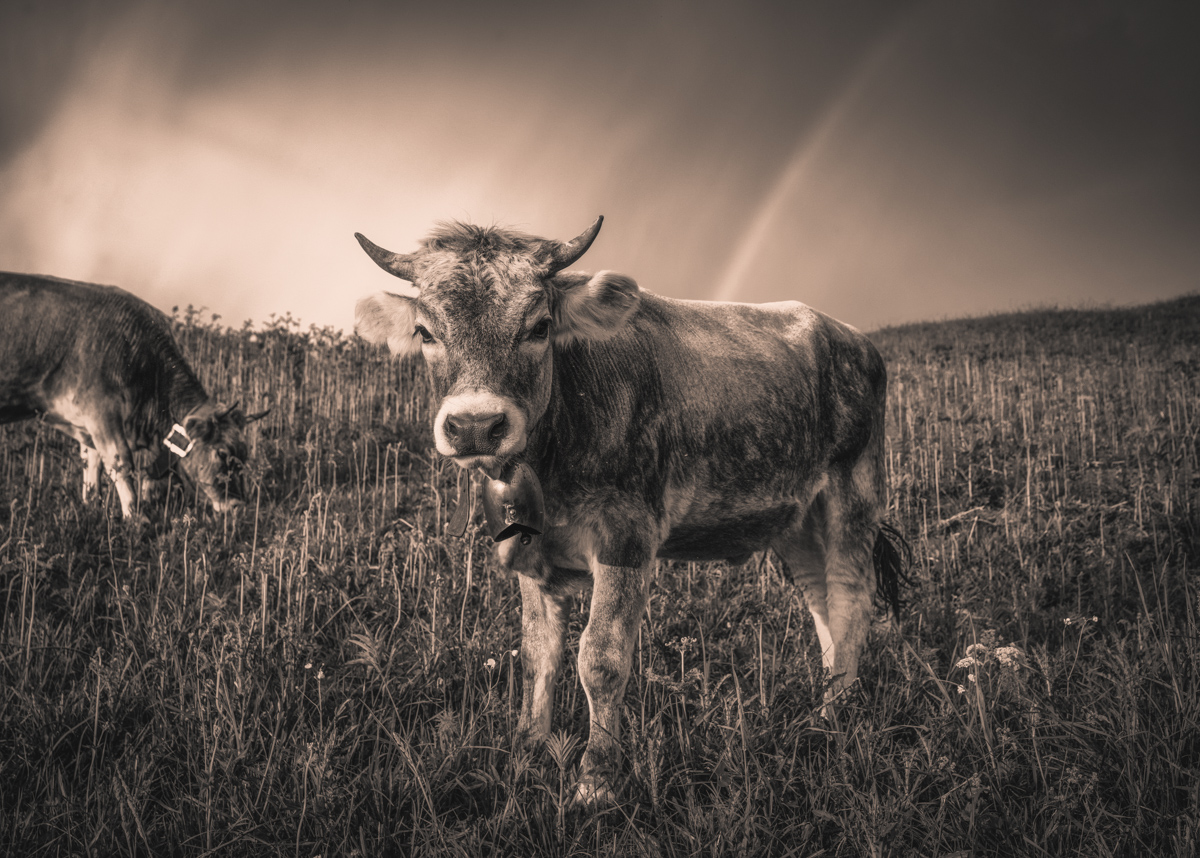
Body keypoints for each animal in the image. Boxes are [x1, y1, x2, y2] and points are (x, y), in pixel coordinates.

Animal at [0, 272, 265, 519]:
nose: (238, 506)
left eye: (245, 456)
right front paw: (136, 518)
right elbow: (120, 462)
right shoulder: (101, 411)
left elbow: (92, 465)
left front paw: (92, 509)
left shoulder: (86, 424)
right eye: (222, 453)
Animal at [353, 217, 906, 804]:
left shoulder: (627, 537)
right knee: (820, 599)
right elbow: (536, 655)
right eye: (425, 332)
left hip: (854, 492)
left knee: (850, 596)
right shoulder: (530, 551)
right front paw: (525, 752)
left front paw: (596, 779)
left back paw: (836, 712)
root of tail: (848, 334)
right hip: (796, 517)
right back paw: (824, 698)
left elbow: (600, 658)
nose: (476, 426)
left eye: (540, 326)